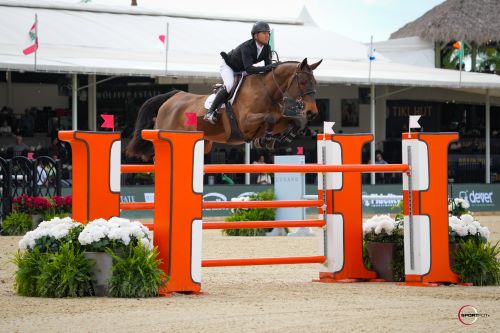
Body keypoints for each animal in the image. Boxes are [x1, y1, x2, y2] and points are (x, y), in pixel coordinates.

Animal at [124, 57, 320, 161]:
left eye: (315, 82)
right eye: (303, 82)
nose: (312, 112)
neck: (267, 90)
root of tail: (174, 96)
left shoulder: (279, 119)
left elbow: (293, 121)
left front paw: (277, 139)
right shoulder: (244, 123)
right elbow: (269, 119)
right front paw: (265, 139)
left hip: (203, 145)